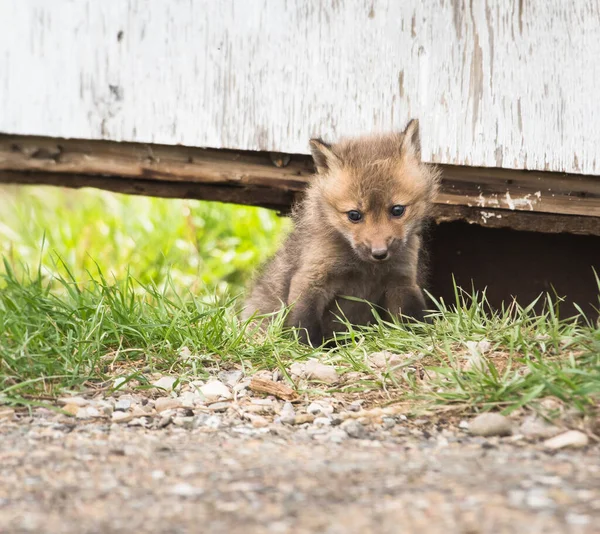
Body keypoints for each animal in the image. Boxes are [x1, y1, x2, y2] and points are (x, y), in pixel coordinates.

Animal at [244, 120, 440, 348]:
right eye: (354, 215)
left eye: (397, 210)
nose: (379, 253)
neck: (366, 270)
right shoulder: (311, 278)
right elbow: (304, 324)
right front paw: (310, 349)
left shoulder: (402, 279)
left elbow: (414, 317)